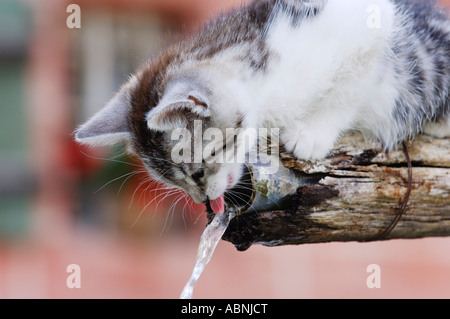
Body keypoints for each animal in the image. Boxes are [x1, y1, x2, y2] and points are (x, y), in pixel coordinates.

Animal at [75, 0, 448, 215]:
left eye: (197, 174)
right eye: (175, 184)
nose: (201, 201)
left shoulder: (368, 22)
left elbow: (349, 86)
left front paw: (312, 132)